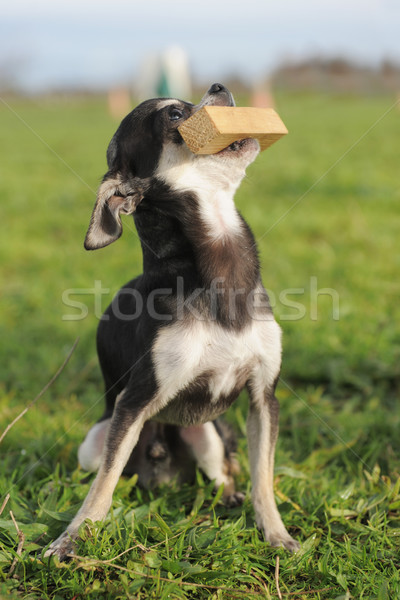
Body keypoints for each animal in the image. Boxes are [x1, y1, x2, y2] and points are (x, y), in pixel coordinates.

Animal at [45, 83, 298, 556]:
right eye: (175, 116)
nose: (219, 85)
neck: (219, 274)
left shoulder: (263, 398)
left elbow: (264, 476)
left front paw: (276, 534)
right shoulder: (133, 403)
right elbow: (102, 486)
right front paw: (72, 538)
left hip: (210, 435)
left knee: (222, 472)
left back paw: (229, 496)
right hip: (97, 436)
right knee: (103, 470)